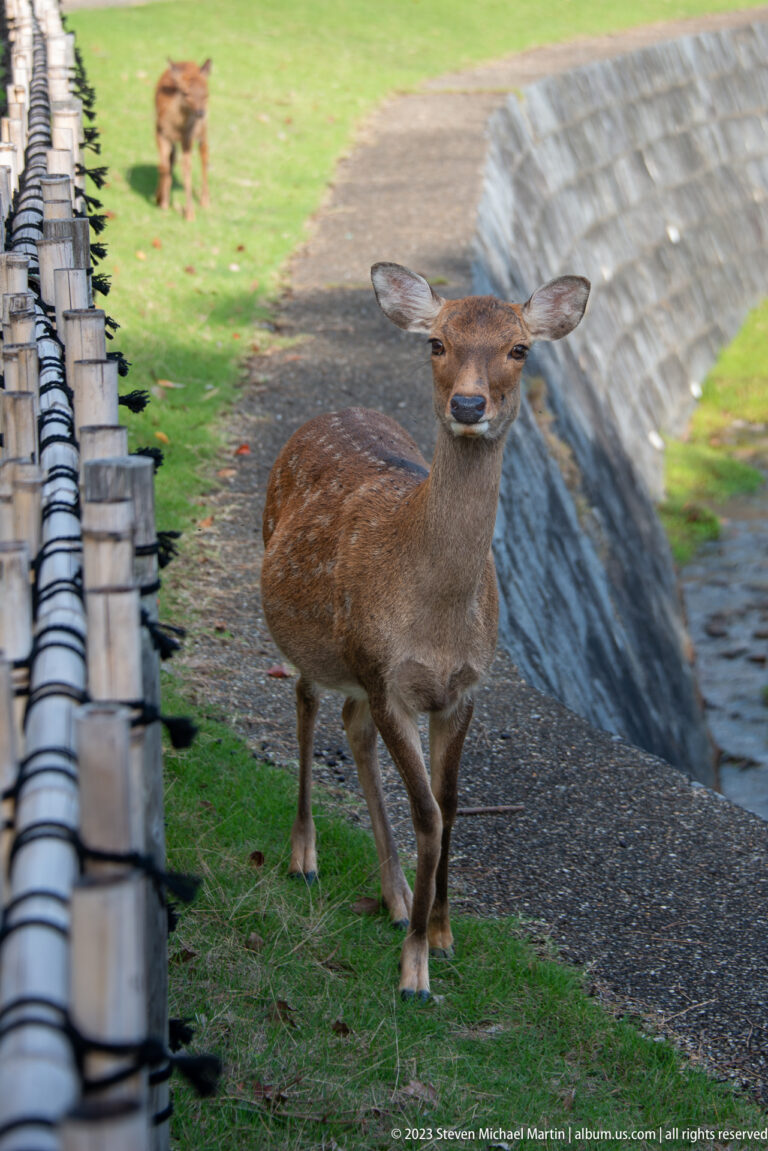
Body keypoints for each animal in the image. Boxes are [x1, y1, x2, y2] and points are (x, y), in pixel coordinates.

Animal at [154, 58, 211, 221]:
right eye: (186, 93)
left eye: (206, 94)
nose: (200, 113)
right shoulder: (160, 131)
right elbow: (164, 165)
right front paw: (162, 201)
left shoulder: (188, 137)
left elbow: (187, 170)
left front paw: (190, 214)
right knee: (172, 158)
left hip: (203, 129)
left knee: (204, 154)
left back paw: (205, 200)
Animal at [261, 262, 589, 1000]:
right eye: (436, 343)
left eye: (520, 349)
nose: (468, 406)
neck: (436, 622)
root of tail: (329, 412)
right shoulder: (388, 679)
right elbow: (427, 814)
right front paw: (415, 969)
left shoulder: (462, 689)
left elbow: (451, 802)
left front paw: (438, 929)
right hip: (320, 640)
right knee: (305, 703)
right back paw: (304, 855)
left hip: (357, 669)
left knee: (351, 728)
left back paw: (394, 895)